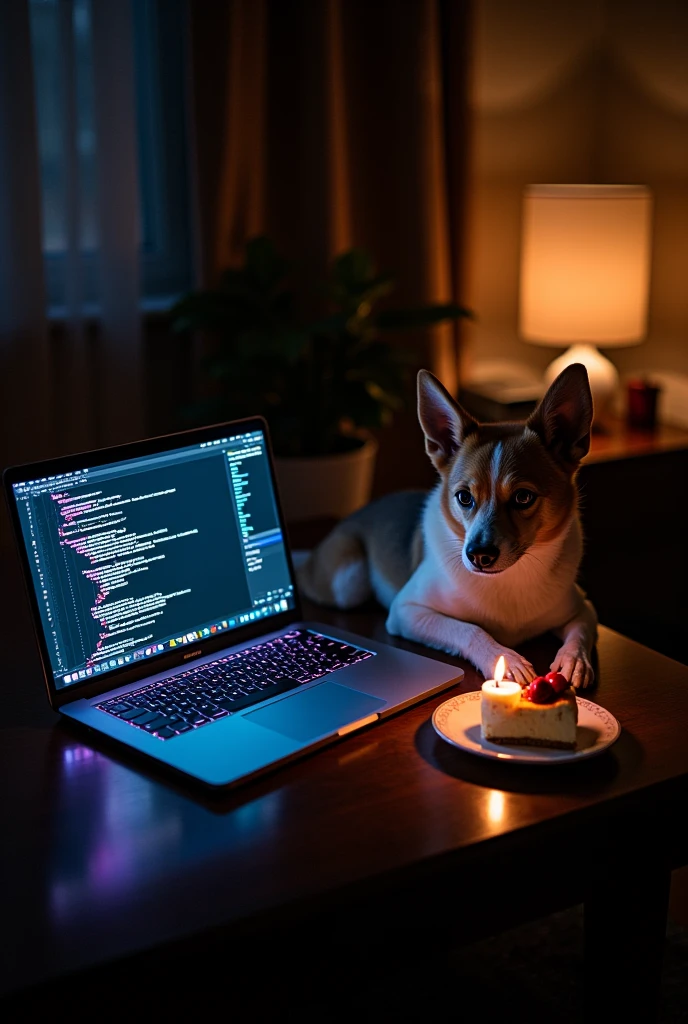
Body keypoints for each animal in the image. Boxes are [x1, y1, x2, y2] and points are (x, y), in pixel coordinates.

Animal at [298, 360, 597, 688]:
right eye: (464, 497)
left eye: (523, 497)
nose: (479, 555)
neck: (508, 579)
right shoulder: (407, 611)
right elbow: (468, 629)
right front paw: (504, 658)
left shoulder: (582, 608)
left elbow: (581, 633)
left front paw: (575, 660)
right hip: (348, 582)